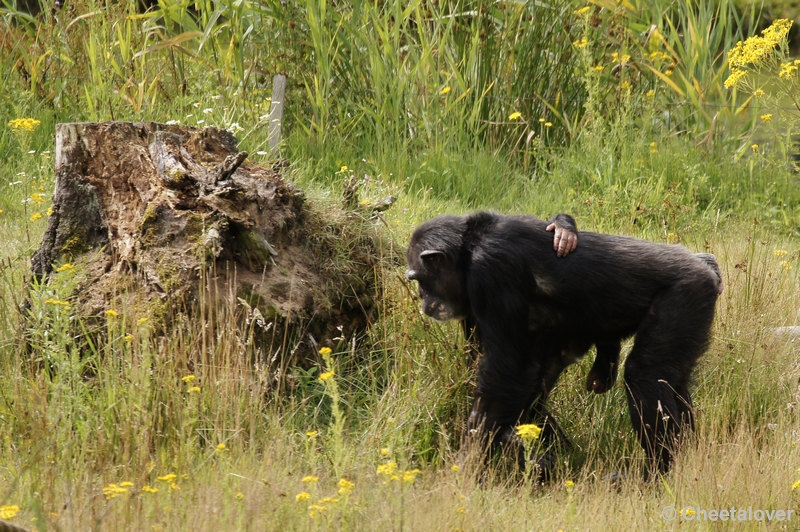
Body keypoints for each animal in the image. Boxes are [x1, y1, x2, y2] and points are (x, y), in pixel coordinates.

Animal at [410, 211, 720, 474]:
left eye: (419, 279)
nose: (424, 301)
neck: (469, 250)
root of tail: (707, 266)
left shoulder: (491, 271)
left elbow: (506, 368)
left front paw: (468, 461)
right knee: (674, 382)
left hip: (685, 295)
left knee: (646, 376)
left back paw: (656, 471)